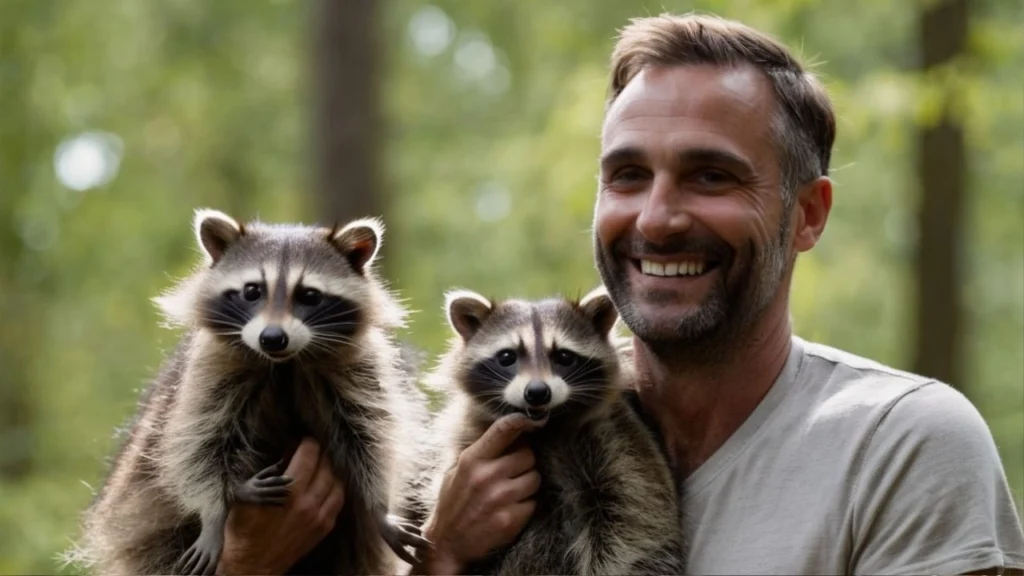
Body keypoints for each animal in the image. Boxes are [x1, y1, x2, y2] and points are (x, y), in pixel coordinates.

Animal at [71, 209, 427, 575]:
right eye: (252, 291)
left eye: (309, 295)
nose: (272, 338)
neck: (286, 363)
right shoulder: (210, 370)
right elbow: (199, 443)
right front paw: (214, 509)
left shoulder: (358, 369)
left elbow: (369, 436)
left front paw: (379, 506)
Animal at [416, 286, 686, 575]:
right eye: (507, 356)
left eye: (564, 356)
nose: (537, 392)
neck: (548, 427)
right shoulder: (470, 436)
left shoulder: (617, 438)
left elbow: (635, 527)